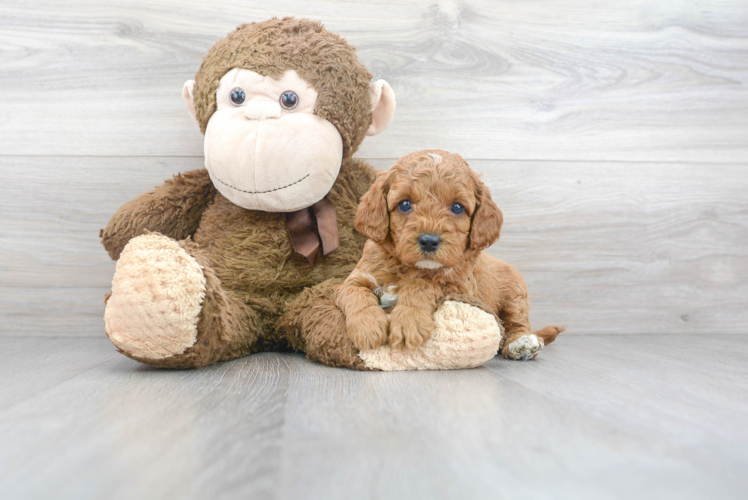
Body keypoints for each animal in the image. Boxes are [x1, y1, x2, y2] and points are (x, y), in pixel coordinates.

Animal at [336, 148, 564, 360]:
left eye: (457, 207)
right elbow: (355, 292)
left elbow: (424, 284)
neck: (410, 268)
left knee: (517, 323)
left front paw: (409, 321)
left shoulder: (460, 287)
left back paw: (522, 343)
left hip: (516, 291)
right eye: (404, 204)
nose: (429, 241)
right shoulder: (354, 279)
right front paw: (367, 326)